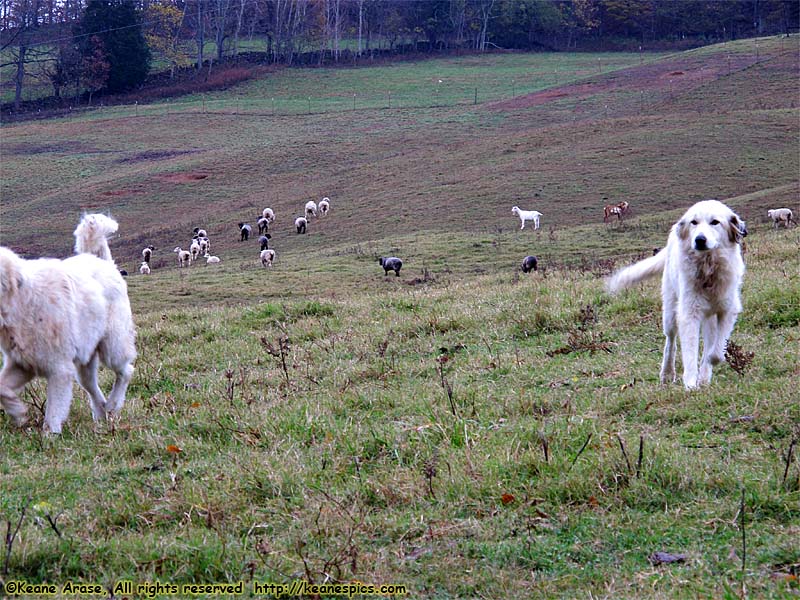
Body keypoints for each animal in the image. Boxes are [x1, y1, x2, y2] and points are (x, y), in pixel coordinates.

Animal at [0, 213, 136, 434]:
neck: (19, 300)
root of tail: (103, 262)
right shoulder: (22, 364)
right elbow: (2, 388)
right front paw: (18, 411)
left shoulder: (59, 370)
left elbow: (53, 413)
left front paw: (49, 437)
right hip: (85, 360)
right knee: (92, 387)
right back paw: (102, 413)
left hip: (112, 348)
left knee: (126, 371)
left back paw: (113, 404)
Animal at [608, 199, 748, 392]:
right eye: (694, 222)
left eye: (715, 222)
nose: (699, 240)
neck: (708, 269)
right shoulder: (689, 313)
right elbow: (690, 352)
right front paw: (690, 383)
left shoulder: (728, 310)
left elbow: (716, 352)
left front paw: (705, 369)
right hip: (670, 312)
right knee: (670, 341)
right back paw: (667, 373)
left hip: (709, 317)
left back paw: (704, 376)